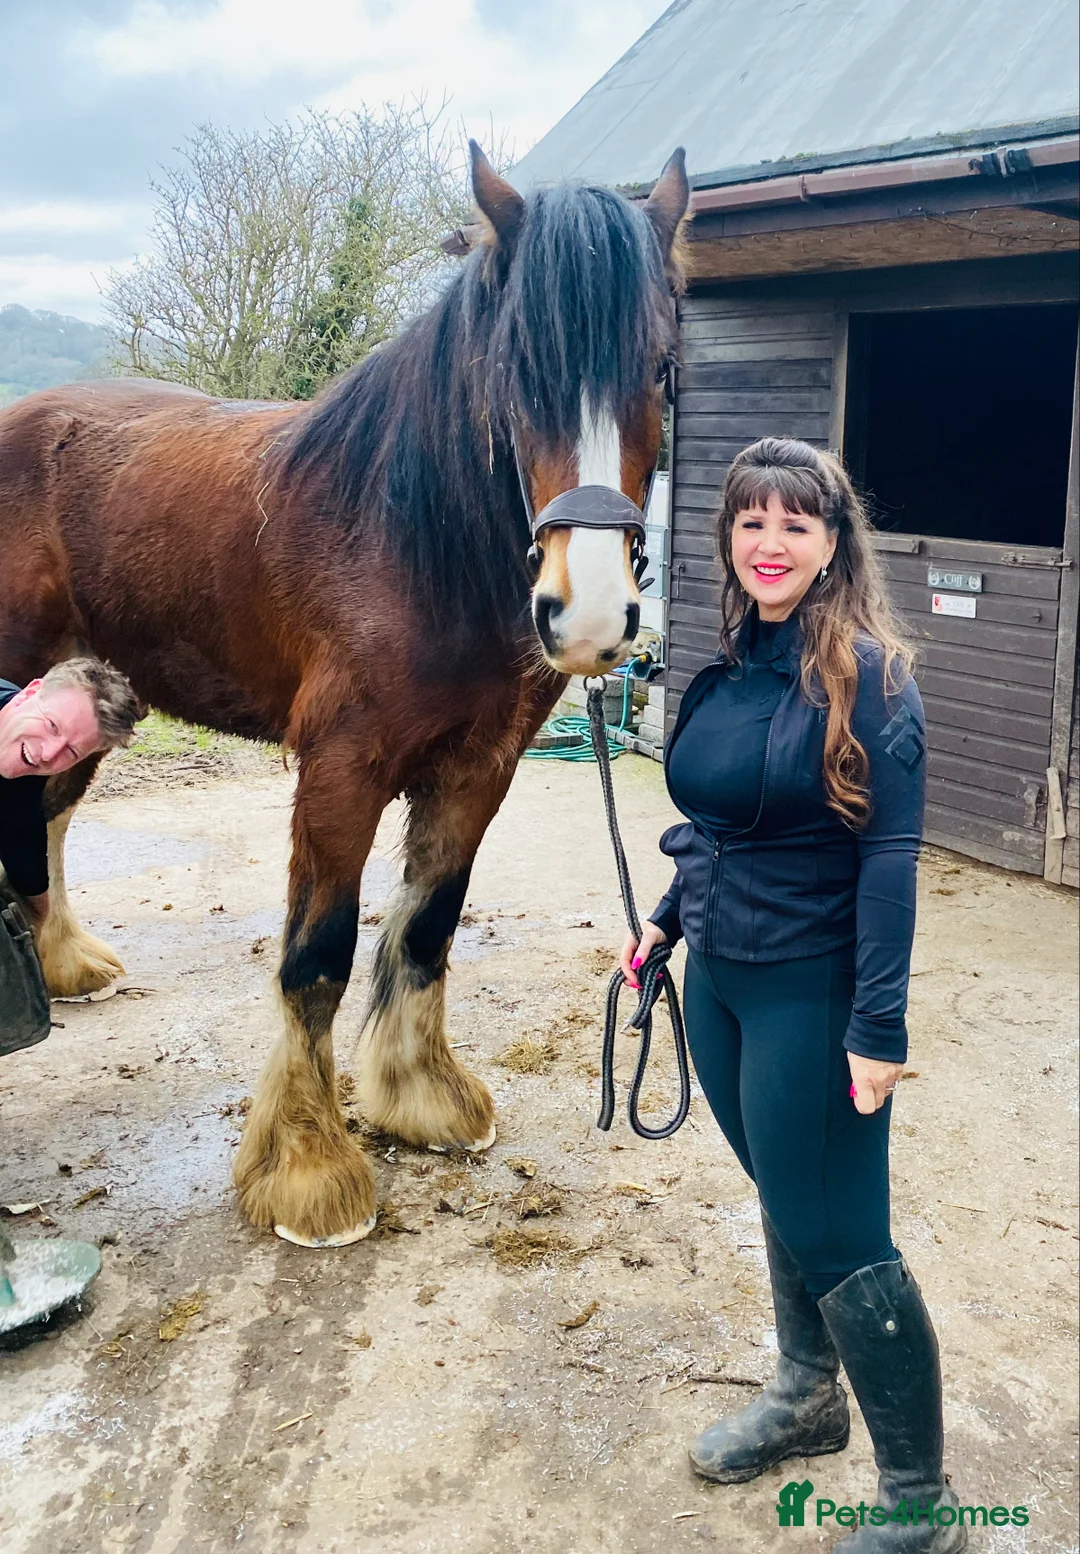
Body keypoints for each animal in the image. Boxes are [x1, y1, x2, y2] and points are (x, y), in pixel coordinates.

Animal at [0, 145, 689, 1248]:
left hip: (80, 697)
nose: (587, 615)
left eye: (662, 368)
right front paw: (311, 1172)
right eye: (516, 370)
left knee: (50, 815)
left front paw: (425, 1102)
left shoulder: (477, 770)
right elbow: (318, 956)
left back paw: (67, 962)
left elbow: (427, 926)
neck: (407, 538)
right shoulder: (340, 771)